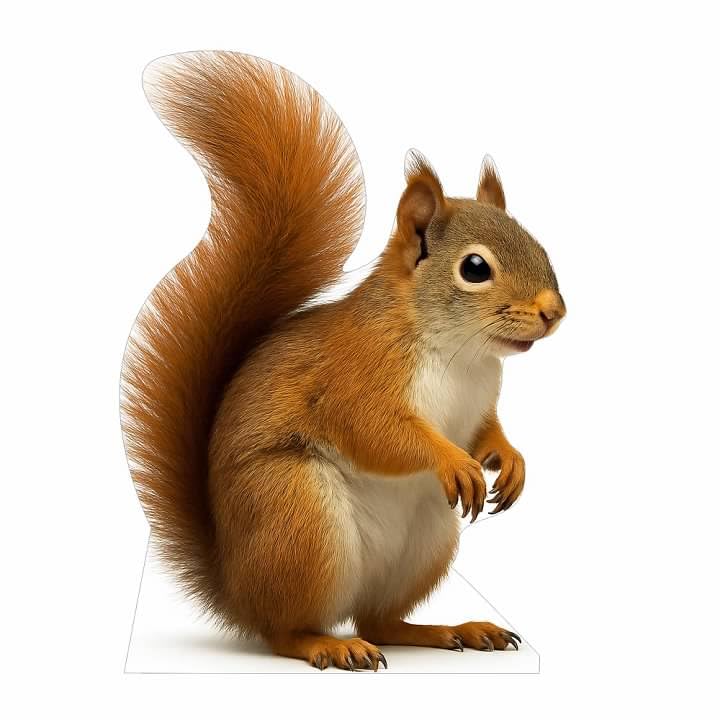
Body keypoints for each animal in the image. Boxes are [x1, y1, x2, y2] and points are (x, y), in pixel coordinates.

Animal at [121, 51, 566, 671]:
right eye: (475, 268)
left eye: (540, 244)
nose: (554, 312)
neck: (461, 353)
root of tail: (235, 588)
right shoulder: (353, 374)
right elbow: (373, 429)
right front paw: (451, 460)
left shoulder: (480, 403)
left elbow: (487, 432)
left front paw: (511, 458)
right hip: (298, 516)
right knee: (285, 629)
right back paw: (327, 645)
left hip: (425, 541)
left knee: (380, 619)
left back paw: (450, 629)